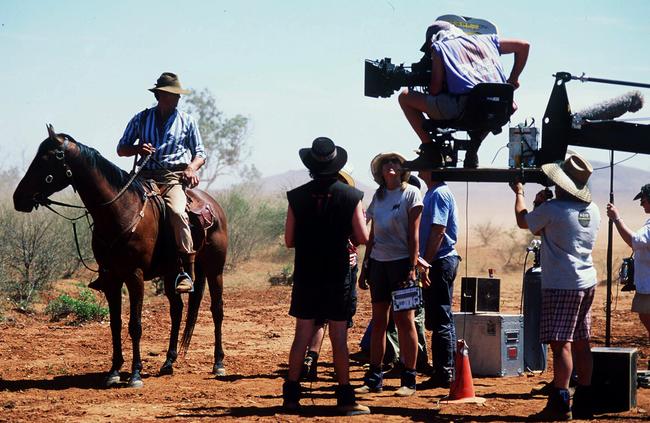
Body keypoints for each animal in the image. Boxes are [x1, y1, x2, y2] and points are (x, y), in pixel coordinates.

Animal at [12, 125, 228, 388]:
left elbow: (135, 325)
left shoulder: (134, 276)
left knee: (217, 310)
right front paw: (114, 370)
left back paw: (218, 364)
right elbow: (115, 324)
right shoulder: (111, 278)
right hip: (170, 274)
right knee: (176, 309)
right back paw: (168, 362)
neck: (120, 210)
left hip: (215, 270)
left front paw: (135, 374)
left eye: (46, 159)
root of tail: (212, 205)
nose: (18, 198)